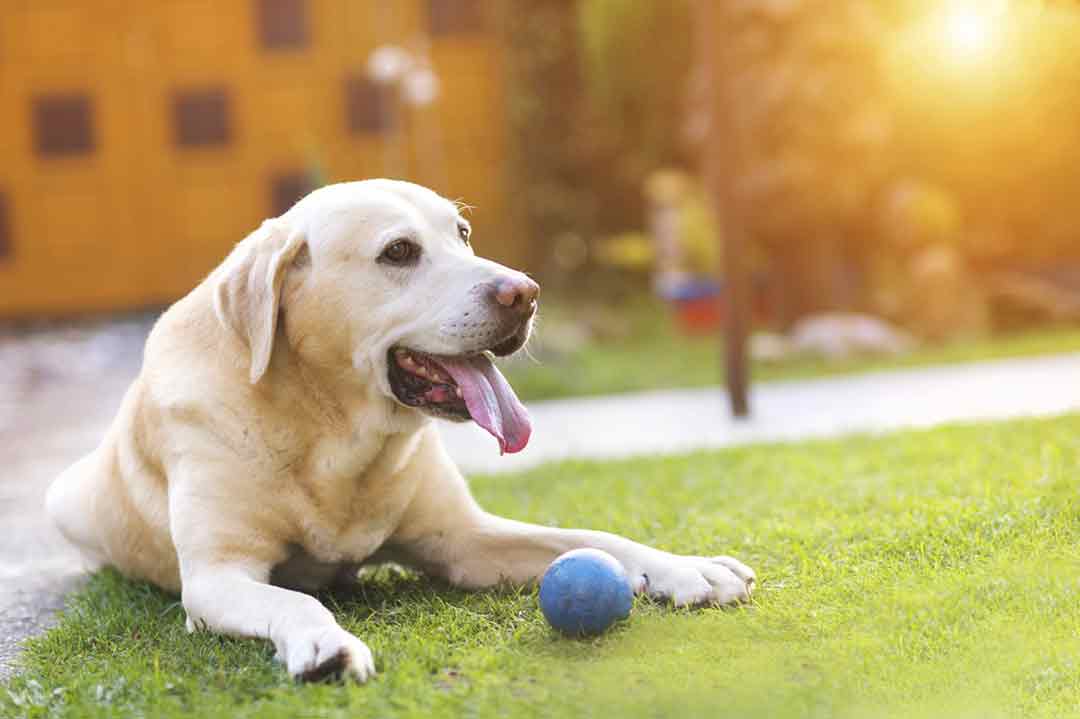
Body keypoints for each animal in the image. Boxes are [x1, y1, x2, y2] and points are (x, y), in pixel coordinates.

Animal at [46, 179, 756, 677]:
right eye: (399, 252)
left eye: (464, 233)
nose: (526, 293)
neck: (332, 432)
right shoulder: (218, 577)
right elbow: (293, 600)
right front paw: (325, 642)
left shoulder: (465, 542)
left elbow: (592, 536)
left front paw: (686, 568)